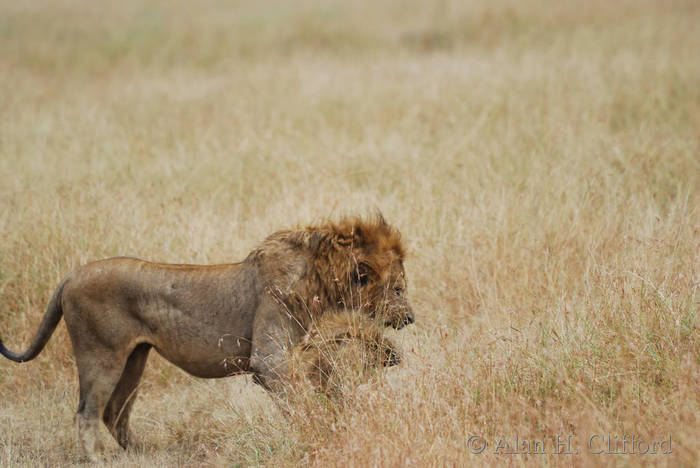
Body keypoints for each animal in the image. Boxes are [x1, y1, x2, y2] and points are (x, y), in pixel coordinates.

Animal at [0, 215, 413, 461]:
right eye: (398, 288)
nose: (410, 318)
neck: (322, 280)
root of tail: (71, 275)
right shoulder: (269, 359)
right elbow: (300, 399)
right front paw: (318, 431)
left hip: (135, 357)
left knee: (114, 411)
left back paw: (143, 455)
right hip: (101, 353)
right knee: (87, 411)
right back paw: (98, 460)